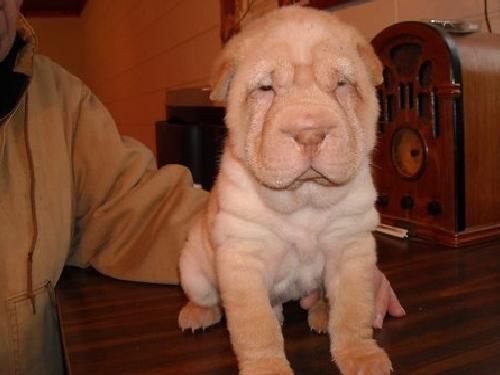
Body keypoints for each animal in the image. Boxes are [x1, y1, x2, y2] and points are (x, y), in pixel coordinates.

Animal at [178, 5, 392, 375]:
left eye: (341, 84)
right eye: (265, 88)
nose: (310, 133)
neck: (303, 200)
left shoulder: (351, 247)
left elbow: (354, 311)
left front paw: (361, 355)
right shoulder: (243, 257)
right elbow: (256, 327)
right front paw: (267, 367)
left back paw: (320, 314)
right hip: (193, 269)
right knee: (210, 298)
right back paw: (197, 313)